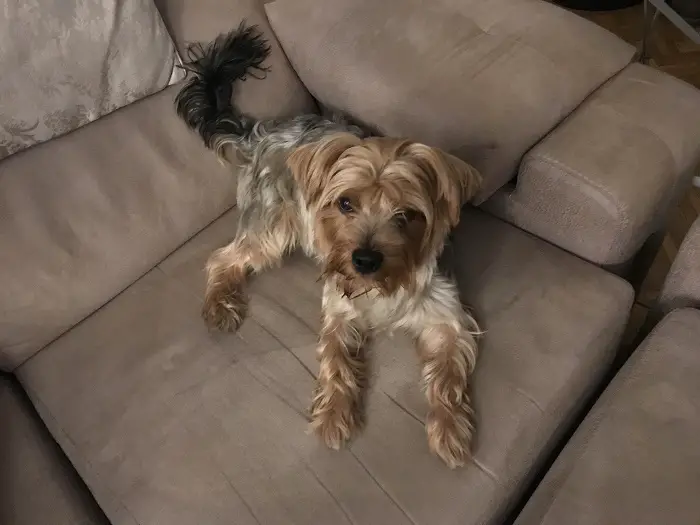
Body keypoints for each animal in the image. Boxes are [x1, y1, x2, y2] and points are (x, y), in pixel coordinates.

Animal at [174, 22, 486, 468]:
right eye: (345, 204)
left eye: (406, 215)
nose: (364, 260)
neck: (380, 285)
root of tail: (259, 133)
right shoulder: (339, 306)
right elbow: (336, 359)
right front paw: (335, 417)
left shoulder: (446, 316)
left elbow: (446, 374)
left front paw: (449, 431)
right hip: (273, 226)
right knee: (224, 258)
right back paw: (220, 304)